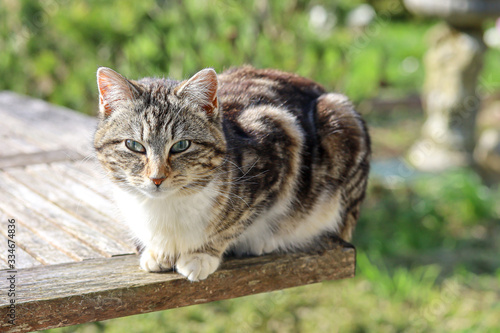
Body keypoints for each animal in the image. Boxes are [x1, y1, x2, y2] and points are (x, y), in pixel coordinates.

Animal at [94, 65, 370, 280]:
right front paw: (158, 252)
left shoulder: (280, 141)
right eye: (134, 145)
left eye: (182, 146)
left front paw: (201, 255)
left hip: (339, 121)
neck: (166, 207)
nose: (157, 178)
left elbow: (237, 223)